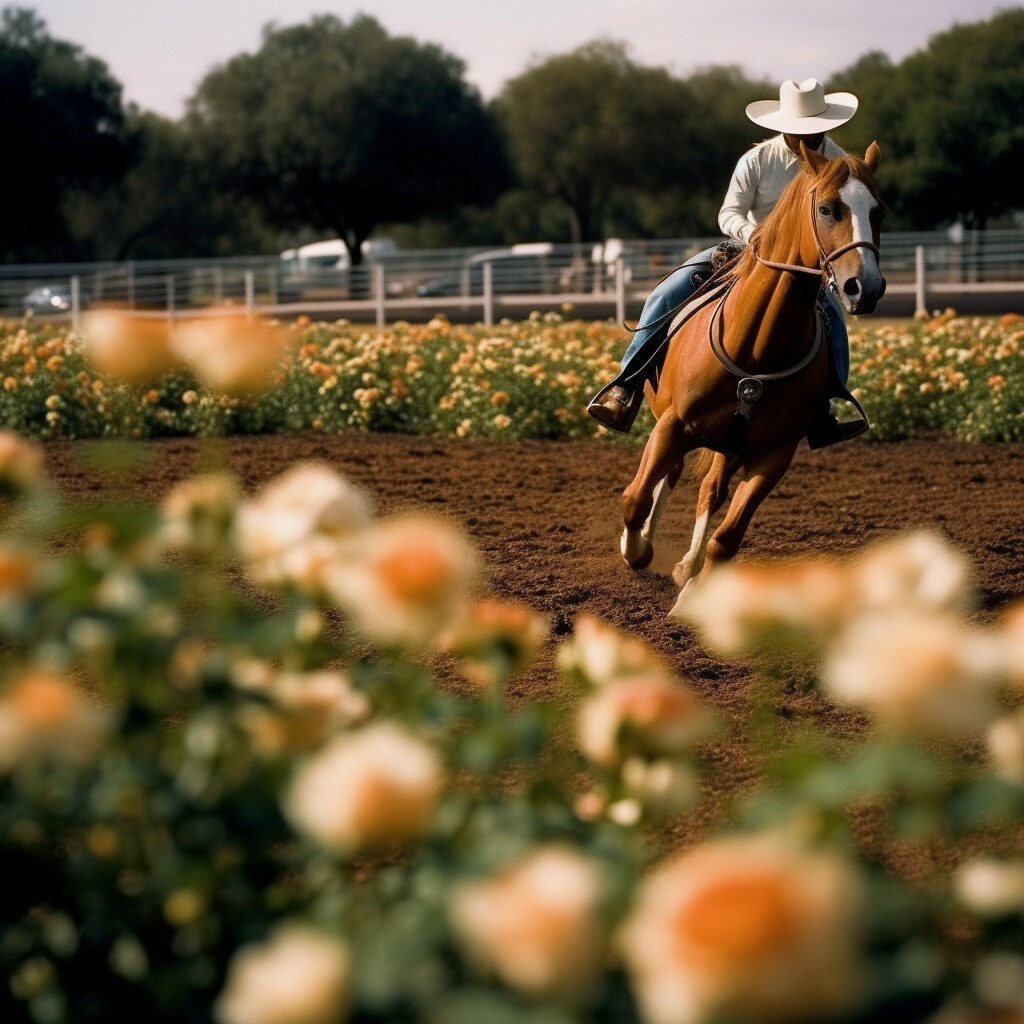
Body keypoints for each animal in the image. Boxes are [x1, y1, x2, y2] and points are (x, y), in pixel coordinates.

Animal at [617, 141, 886, 615]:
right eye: (827, 208)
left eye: (880, 211)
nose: (865, 287)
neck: (756, 344)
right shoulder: (672, 424)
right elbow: (635, 498)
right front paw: (636, 551)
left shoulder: (774, 453)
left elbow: (728, 536)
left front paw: (692, 596)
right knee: (670, 476)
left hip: (731, 442)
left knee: (710, 490)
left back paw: (687, 566)